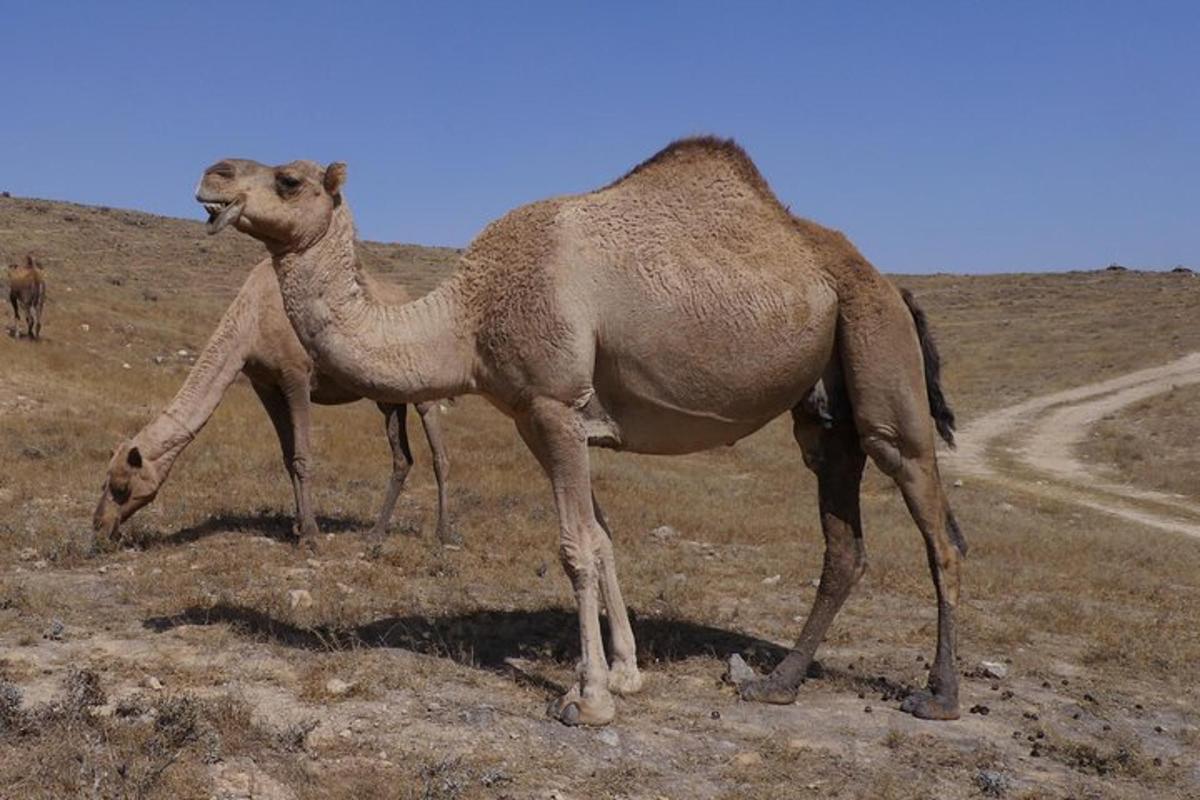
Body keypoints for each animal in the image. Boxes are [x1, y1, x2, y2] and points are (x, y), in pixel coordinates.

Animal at [91, 260, 456, 546]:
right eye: (104, 481)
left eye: (122, 486)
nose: (98, 528)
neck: (251, 321)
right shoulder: (264, 384)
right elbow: (286, 456)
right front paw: (297, 525)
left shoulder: (296, 375)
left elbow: (302, 455)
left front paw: (311, 535)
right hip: (387, 397)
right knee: (401, 457)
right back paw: (376, 535)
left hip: (422, 386)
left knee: (438, 451)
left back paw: (443, 533)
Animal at [194, 137, 964, 724]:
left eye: (289, 180)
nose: (212, 175)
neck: (467, 319)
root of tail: (891, 284)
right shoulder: (539, 419)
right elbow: (603, 540)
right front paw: (625, 673)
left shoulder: (555, 401)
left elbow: (573, 548)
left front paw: (587, 697)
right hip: (825, 411)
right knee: (844, 541)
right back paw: (777, 683)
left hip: (879, 358)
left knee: (937, 528)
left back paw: (939, 697)